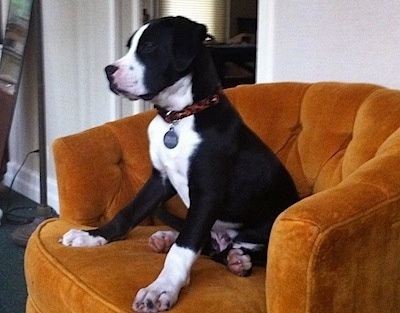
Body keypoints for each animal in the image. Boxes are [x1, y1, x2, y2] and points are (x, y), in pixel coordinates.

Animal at [58, 15, 296, 310]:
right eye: (130, 46)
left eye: (149, 46)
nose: (108, 70)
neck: (180, 117)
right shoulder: (159, 179)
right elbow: (129, 211)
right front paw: (92, 236)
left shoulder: (207, 194)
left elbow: (184, 248)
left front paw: (162, 288)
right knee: (207, 243)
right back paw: (168, 238)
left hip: (259, 229)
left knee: (230, 248)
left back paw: (237, 260)